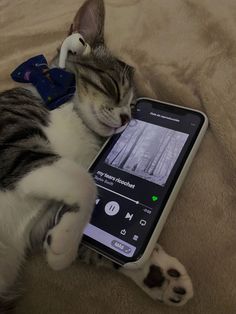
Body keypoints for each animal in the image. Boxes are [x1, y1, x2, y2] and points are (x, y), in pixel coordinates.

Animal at [0, 0, 193, 312]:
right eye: (113, 86)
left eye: (134, 108)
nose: (126, 119)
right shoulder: (12, 138)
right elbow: (85, 183)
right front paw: (63, 246)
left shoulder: (42, 221)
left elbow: (92, 237)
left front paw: (156, 273)